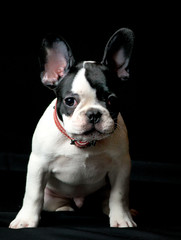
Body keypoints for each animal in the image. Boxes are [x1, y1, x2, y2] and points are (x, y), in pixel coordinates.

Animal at [9, 28, 135, 229]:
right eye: (70, 101)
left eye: (112, 101)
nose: (93, 113)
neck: (82, 143)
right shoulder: (39, 164)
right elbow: (33, 194)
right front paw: (26, 220)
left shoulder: (121, 166)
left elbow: (119, 195)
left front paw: (122, 218)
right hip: (52, 196)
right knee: (53, 202)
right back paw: (64, 208)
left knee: (108, 198)